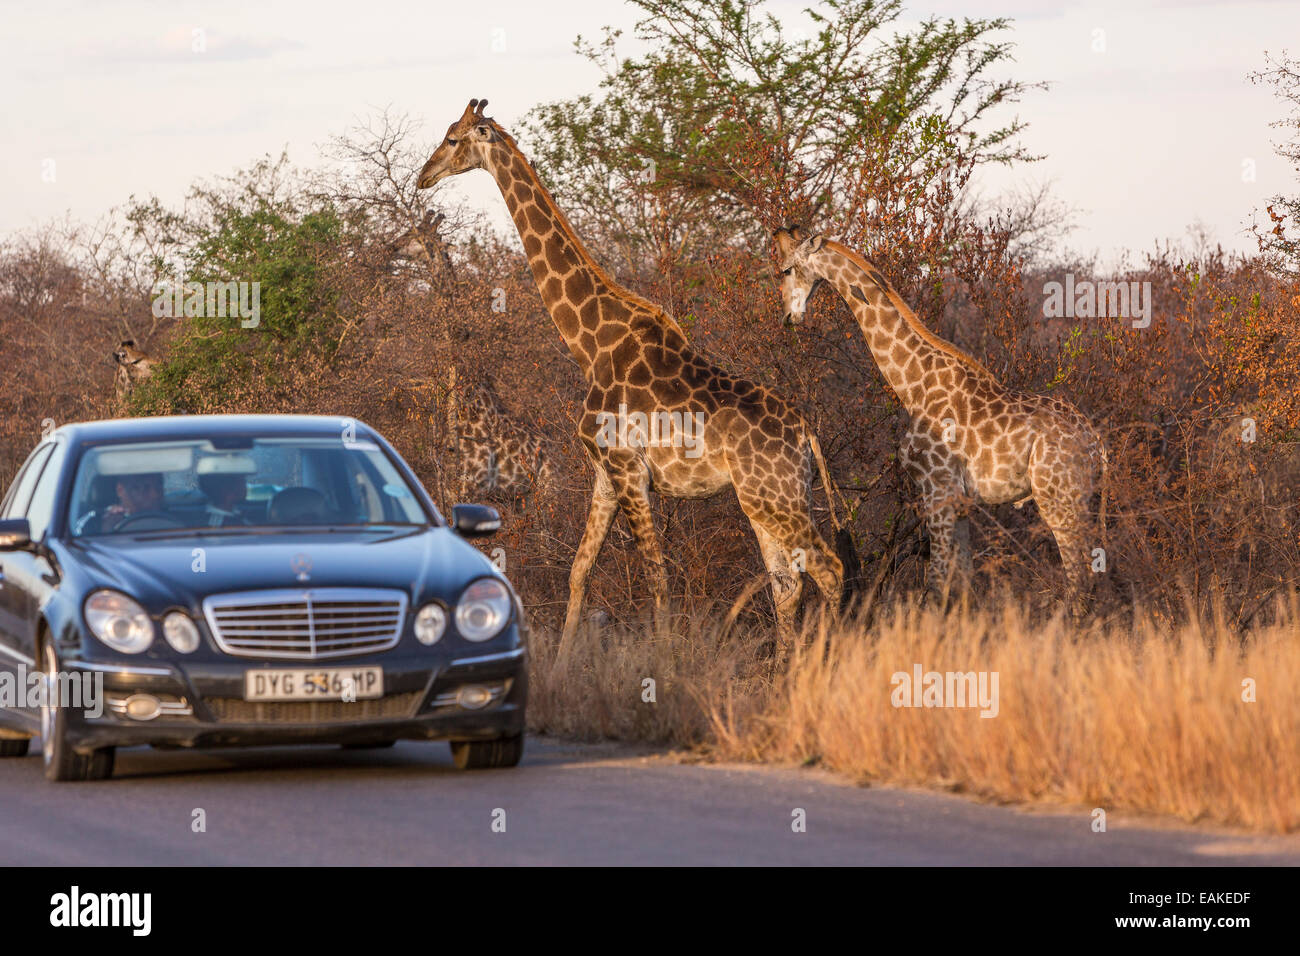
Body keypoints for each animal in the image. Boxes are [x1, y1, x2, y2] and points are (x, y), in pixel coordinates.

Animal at [418, 100, 852, 660]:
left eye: (453, 138)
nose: (424, 176)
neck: (591, 345)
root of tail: (807, 434)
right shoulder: (604, 474)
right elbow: (580, 572)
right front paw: (561, 667)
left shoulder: (628, 469)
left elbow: (656, 577)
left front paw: (664, 664)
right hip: (765, 499)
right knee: (787, 582)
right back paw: (783, 669)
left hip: (775, 498)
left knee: (829, 569)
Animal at [769, 226, 1107, 613]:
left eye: (785, 270)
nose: (788, 317)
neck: (913, 383)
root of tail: (1096, 445)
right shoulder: (958, 500)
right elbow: (961, 586)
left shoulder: (937, 488)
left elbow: (934, 586)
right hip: (1084, 498)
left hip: (1059, 498)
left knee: (1079, 576)